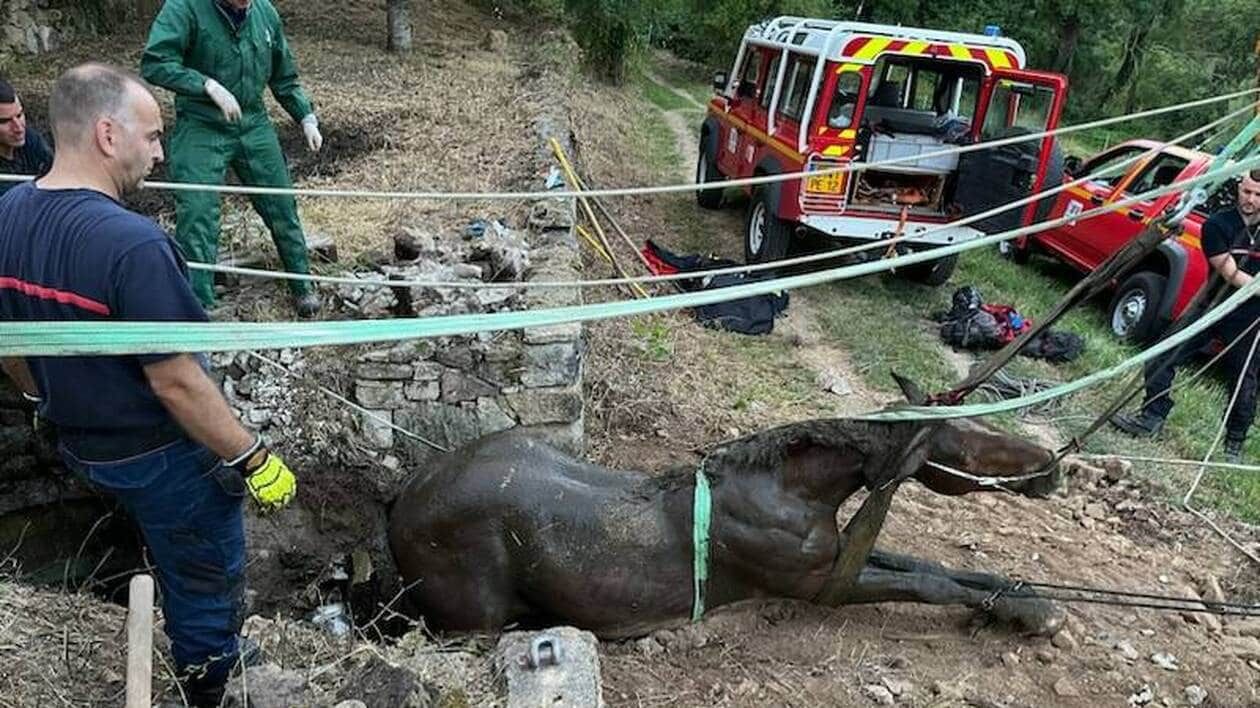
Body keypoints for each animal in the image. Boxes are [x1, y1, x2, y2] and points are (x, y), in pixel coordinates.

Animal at [385, 382, 1063, 637]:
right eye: (969, 435)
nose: (1052, 466)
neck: (788, 491)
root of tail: (404, 498)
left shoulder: (839, 556)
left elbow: (940, 569)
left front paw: (1026, 601)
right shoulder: (820, 586)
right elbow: (930, 584)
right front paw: (1036, 615)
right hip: (477, 622)